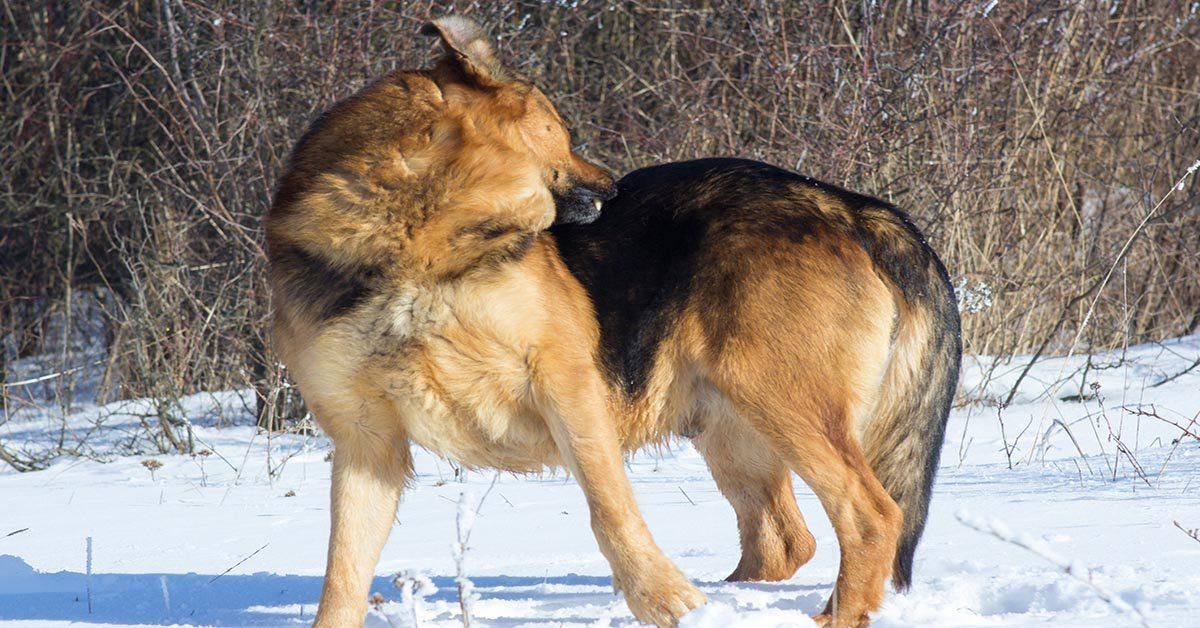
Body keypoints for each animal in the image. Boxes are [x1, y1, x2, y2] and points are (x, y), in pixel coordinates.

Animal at [267, 15, 960, 628]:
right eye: (560, 131)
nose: (616, 191)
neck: (421, 248)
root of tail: (853, 207)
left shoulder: (565, 383)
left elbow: (611, 508)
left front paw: (664, 601)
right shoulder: (366, 441)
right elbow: (343, 572)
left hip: (778, 396)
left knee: (870, 516)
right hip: (733, 427)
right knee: (785, 541)